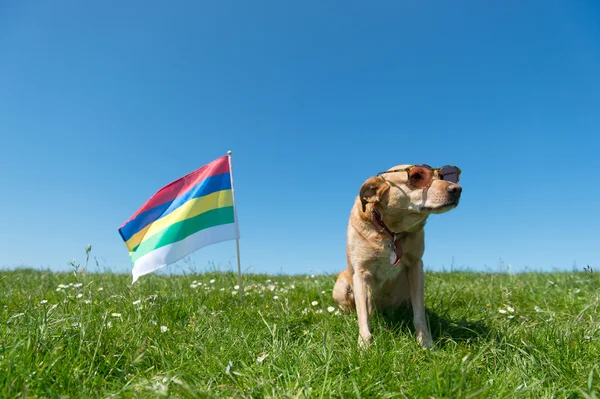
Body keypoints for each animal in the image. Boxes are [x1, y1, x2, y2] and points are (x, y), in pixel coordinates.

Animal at [330, 164, 462, 348]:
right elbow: (363, 316)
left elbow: (419, 314)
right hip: (341, 285)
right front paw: (364, 346)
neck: (390, 232)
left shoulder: (416, 266)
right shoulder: (361, 273)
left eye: (443, 176)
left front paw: (426, 343)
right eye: (417, 177)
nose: (457, 189)